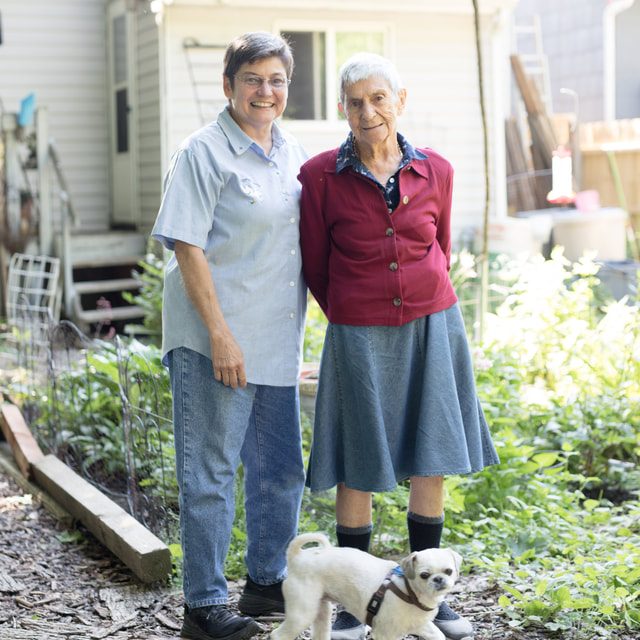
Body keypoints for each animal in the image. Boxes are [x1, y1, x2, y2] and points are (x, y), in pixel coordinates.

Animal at [270, 528, 460, 640]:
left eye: (448, 571)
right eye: (424, 575)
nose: (438, 579)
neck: (410, 591)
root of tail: (296, 558)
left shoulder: (423, 627)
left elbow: (438, 635)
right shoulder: (384, 634)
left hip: (321, 612)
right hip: (302, 614)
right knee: (278, 635)